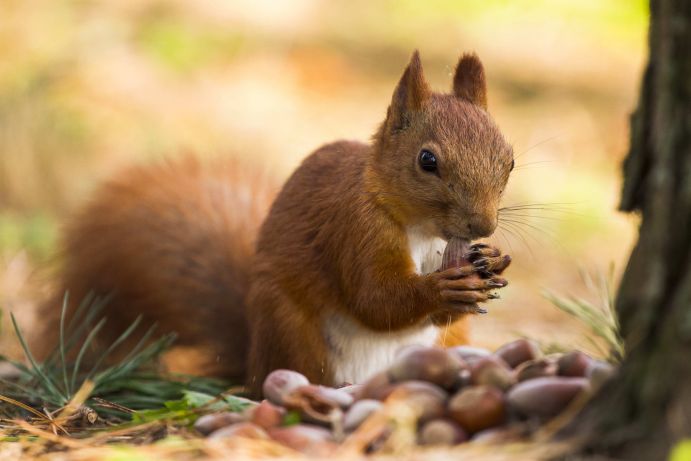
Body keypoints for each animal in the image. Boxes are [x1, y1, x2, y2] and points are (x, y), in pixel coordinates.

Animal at [35, 51, 516, 396]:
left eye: (509, 159)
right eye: (427, 161)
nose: (483, 226)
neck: (422, 230)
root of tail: (250, 359)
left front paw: (490, 261)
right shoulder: (353, 229)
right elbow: (374, 298)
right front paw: (442, 289)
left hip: (447, 343)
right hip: (289, 327)